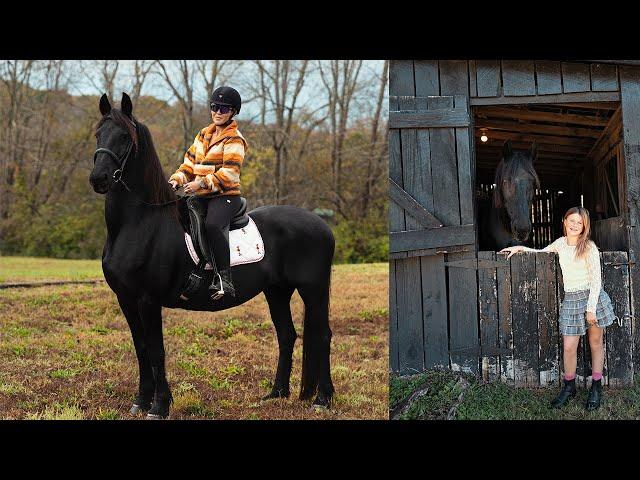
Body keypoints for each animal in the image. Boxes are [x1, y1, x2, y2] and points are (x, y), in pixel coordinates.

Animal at [89, 92, 336, 418]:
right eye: (98, 134)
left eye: (124, 138)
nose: (99, 178)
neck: (140, 223)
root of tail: (321, 224)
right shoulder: (126, 299)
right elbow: (141, 348)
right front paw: (140, 401)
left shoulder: (148, 300)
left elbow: (156, 350)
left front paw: (159, 405)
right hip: (277, 291)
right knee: (287, 335)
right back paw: (276, 393)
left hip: (313, 290)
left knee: (322, 335)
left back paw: (323, 398)